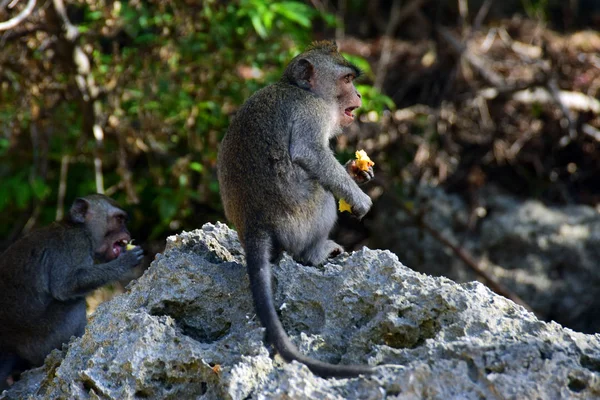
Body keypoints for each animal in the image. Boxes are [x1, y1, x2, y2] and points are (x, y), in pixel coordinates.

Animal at [0, 195, 144, 390]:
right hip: (41, 342)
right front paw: (126, 261)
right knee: (75, 303)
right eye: (119, 219)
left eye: (124, 221)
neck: (78, 227)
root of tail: (8, 345)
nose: (127, 233)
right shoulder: (76, 244)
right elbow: (65, 285)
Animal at [216, 40, 376, 378]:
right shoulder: (311, 112)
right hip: (299, 218)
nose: (359, 96)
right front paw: (358, 198)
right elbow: (310, 153)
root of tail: (255, 224)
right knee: (322, 194)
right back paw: (314, 253)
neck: (300, 89)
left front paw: (356, 172)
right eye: (346, 80)